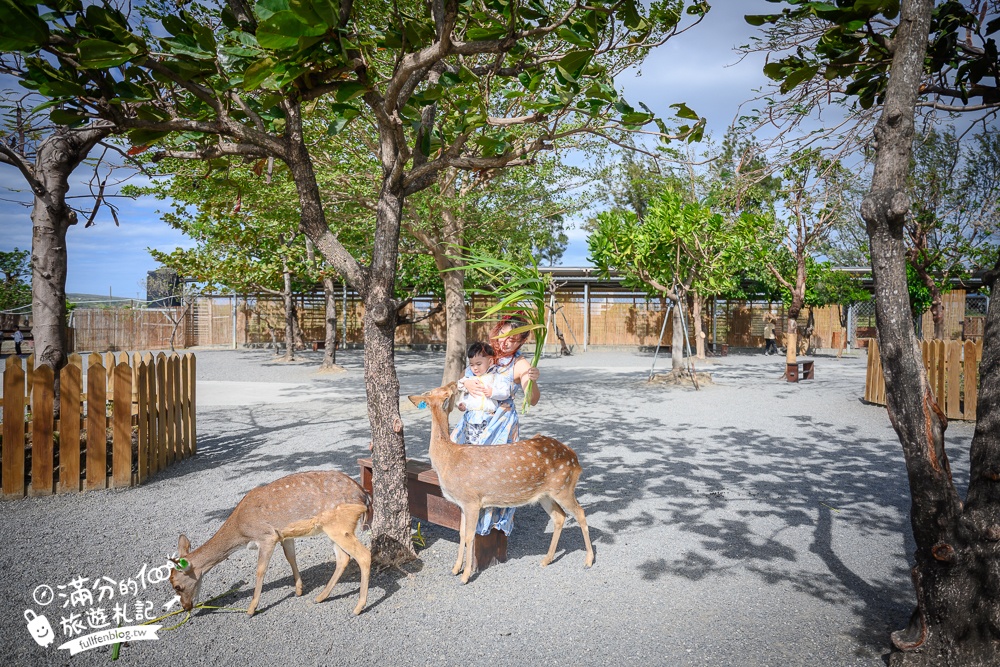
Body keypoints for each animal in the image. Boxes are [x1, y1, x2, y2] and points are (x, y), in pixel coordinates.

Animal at [168, 470, 372, 616]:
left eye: (177, 586)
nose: (186, 607)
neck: (241, 530)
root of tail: (364, 495)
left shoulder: (266, 536)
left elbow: (260, 570)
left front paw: (251, 609)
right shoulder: (284, 535)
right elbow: (291, 557)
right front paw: (299, 590)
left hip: (339, 525)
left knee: (363, 555)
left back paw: (357, 608)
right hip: (332, 529)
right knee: (343, 558)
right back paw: (320, 597)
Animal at [408, 384, 592, 580]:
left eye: (445, 391)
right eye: (439, 390)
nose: (454, 384)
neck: (447, 459)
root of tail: (576, 460)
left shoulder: (472, 500)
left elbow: (470, 536)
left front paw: (465, 576)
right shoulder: (462, 503)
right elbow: (461, 533)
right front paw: (455, 569)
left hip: (564, 487)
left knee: (580, 513)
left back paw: (588, 560)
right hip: (546, 494)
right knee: (559, 517)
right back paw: (546, 559)